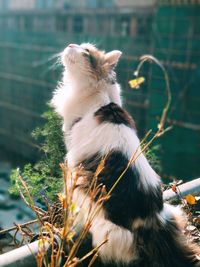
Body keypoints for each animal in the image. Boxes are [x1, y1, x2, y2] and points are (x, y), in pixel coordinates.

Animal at [50, 43, 199, 266]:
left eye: (86, 52)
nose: (70, 44)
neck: (100, 97)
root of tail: (151, 222)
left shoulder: (72, 163)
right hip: (174, 213)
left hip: (102, 223)